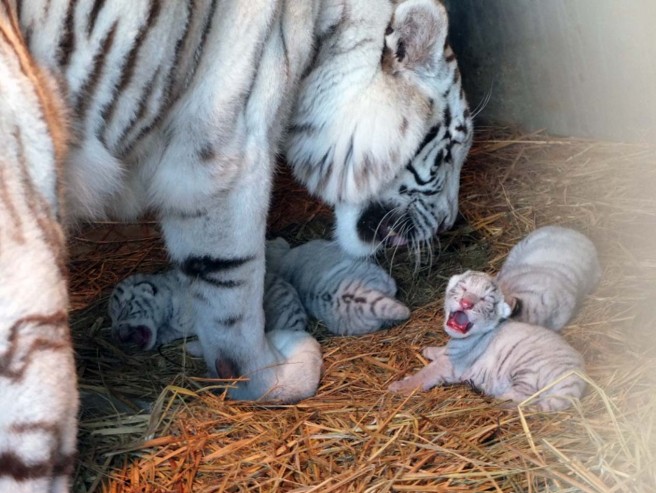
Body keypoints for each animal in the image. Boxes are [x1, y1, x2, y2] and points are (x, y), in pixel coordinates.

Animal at [0, 0, 472, 488]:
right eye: (450, 152)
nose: (450, 221)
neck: (321, 41)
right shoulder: (227, 156)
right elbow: (234, 296)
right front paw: (276, 372)